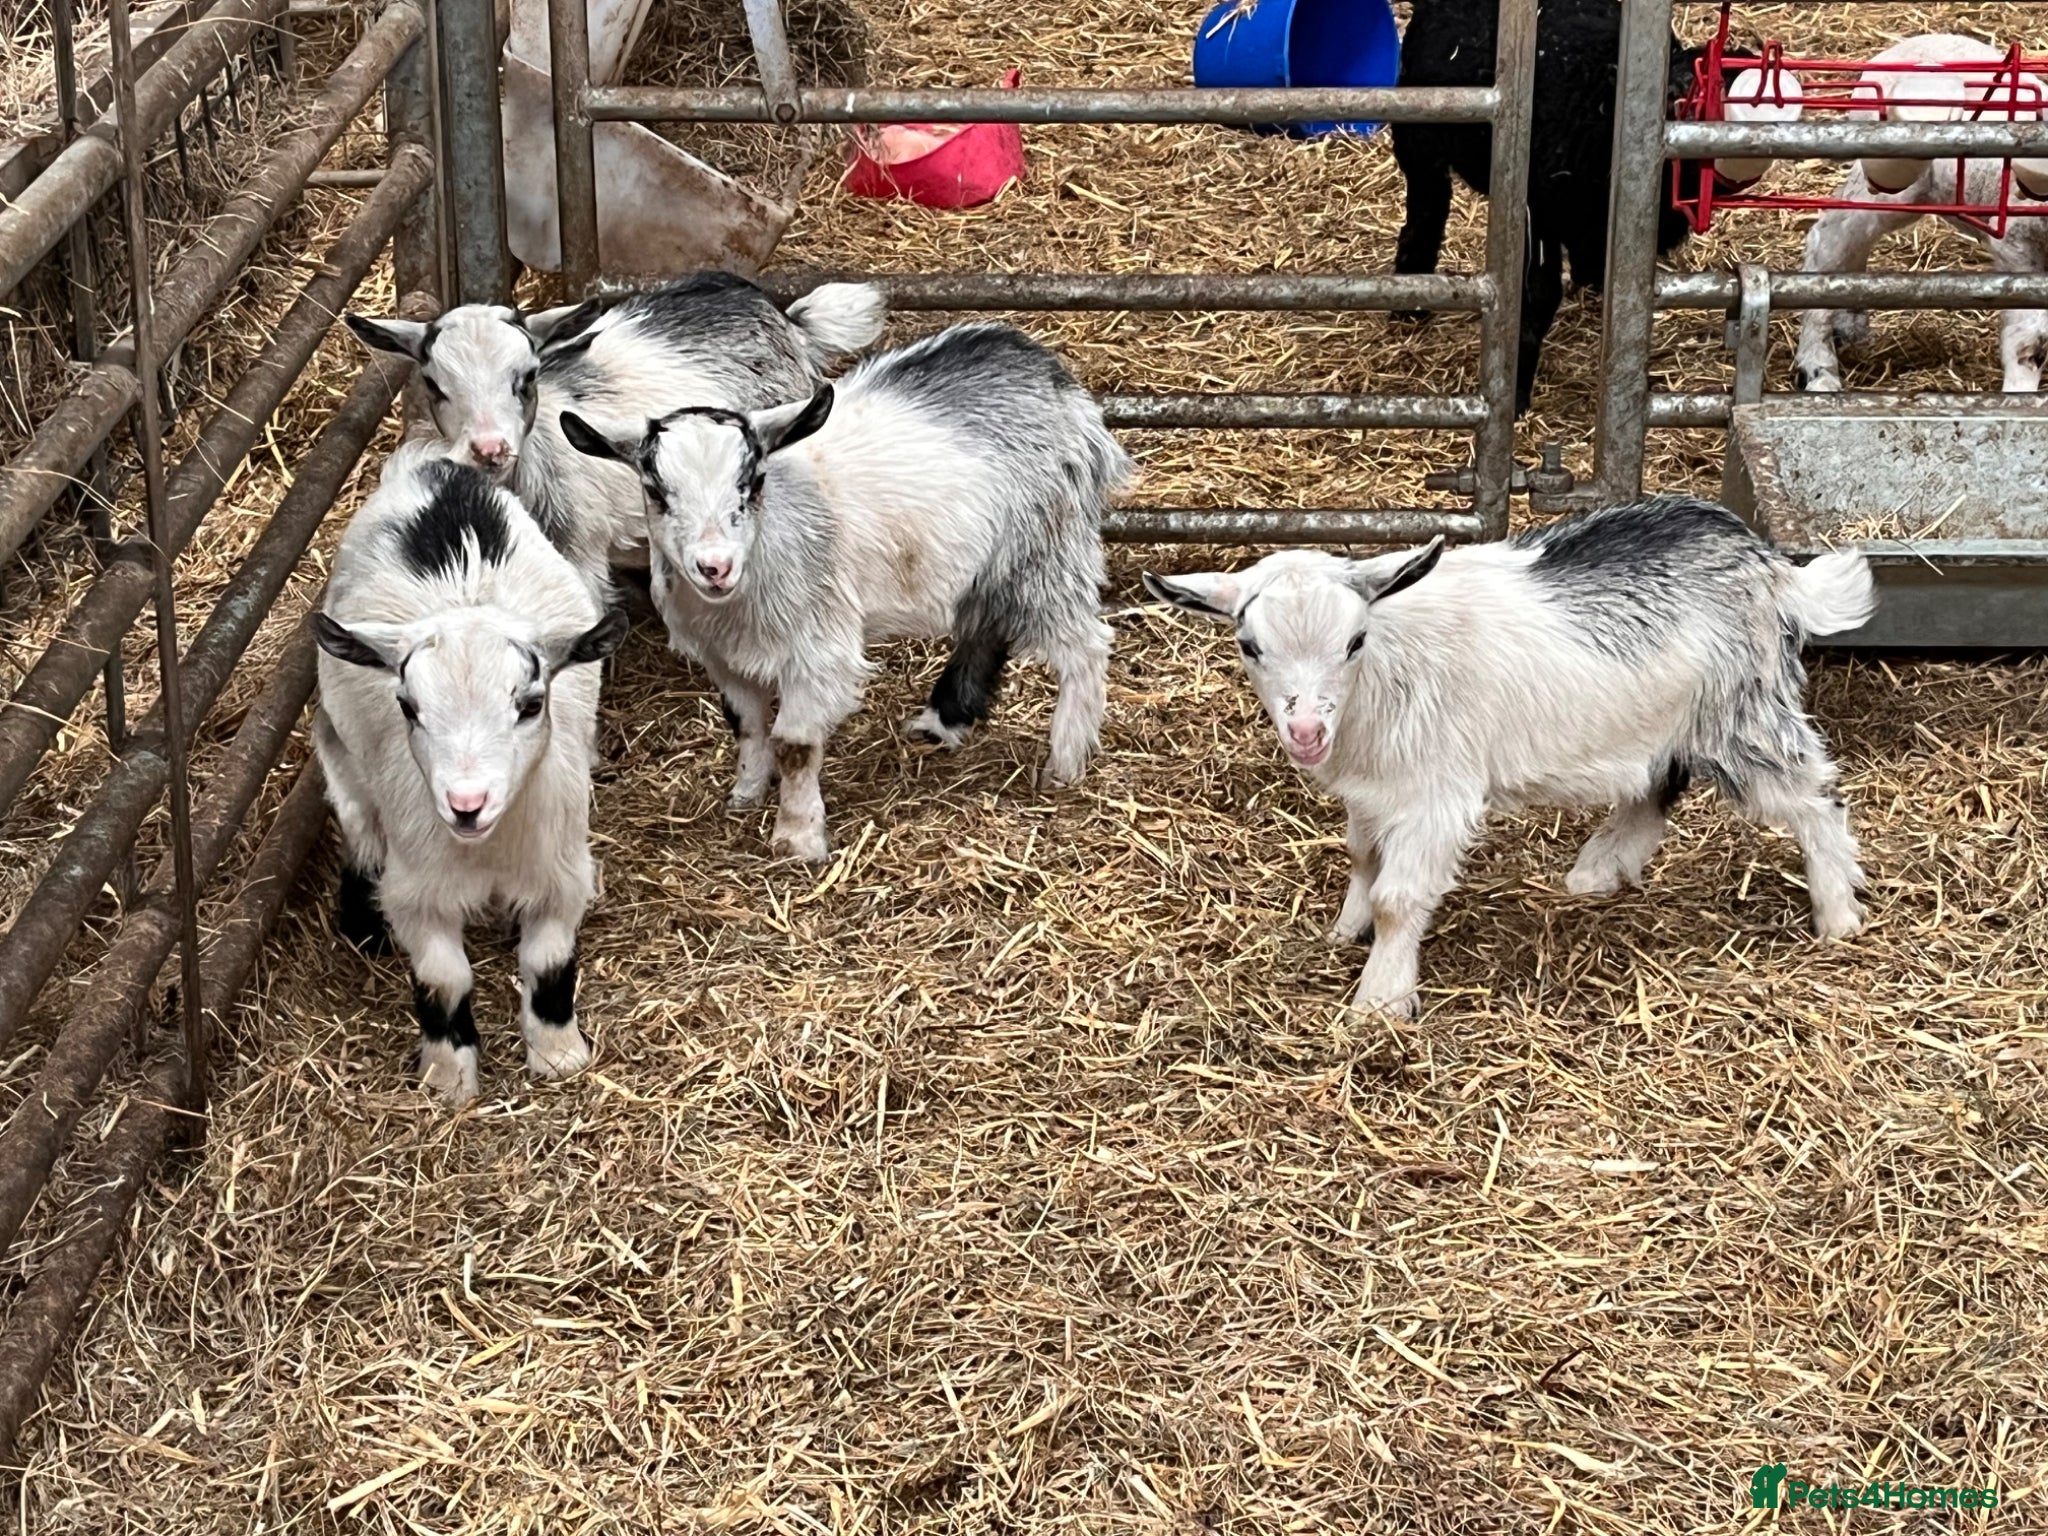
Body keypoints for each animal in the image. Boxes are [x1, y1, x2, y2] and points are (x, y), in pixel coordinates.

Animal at [313, 439, 627, 1105]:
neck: (488, 851)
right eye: (408, 707)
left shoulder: (560, 870)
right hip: (338, 742)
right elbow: (443, 979)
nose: (466, 803)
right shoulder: (420, 890)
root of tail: (436, 466)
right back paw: (360, 918)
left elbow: (548, 963)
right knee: (358, 819)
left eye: (531, 704)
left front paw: (559, 1054)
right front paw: (448, 1074)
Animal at [559, 323, 1129, 863]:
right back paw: (943, 723)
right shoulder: (723, 658)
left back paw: (1064, 763)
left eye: (753, 480)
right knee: (984, 626)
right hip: (989, 566)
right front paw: (745, 794)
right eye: (655, 490)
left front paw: (796, 838)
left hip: (1045, 552)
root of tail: (1048, 373)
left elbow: (795, 745)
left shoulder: (818, 652)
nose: (715, 567)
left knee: (1085, 645)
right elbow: (746, 726)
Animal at [1144, 498, 1874, 1019]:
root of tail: (1770, 564)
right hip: (1667, 720)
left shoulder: (1435, 794)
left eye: (1354, 641)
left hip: (1745, 715)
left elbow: (1398, 897)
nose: (1304, 733)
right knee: (1656, 784)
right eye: (1250, 645)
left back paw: (1838, 916)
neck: (1385, 671)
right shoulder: (1373, 789)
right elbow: (1361, 859)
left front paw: (1379, 1002)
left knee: (1816, 796)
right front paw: (1344, 931)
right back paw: (1599, 870)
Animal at [1391, 0, 1706, 413]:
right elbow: (1538, 296)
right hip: (1420, 138)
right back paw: (1409, 299)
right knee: (1425, 215)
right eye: (1676, 98)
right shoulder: (1536, 216)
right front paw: (1515, 394)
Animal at [1794, 35, 2048, 394]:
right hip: (1891, 181)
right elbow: (2030, 339)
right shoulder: (2017, 241)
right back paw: (1818, 368)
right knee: (1831, 238)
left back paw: (1849, 321)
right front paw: (2018, 393)